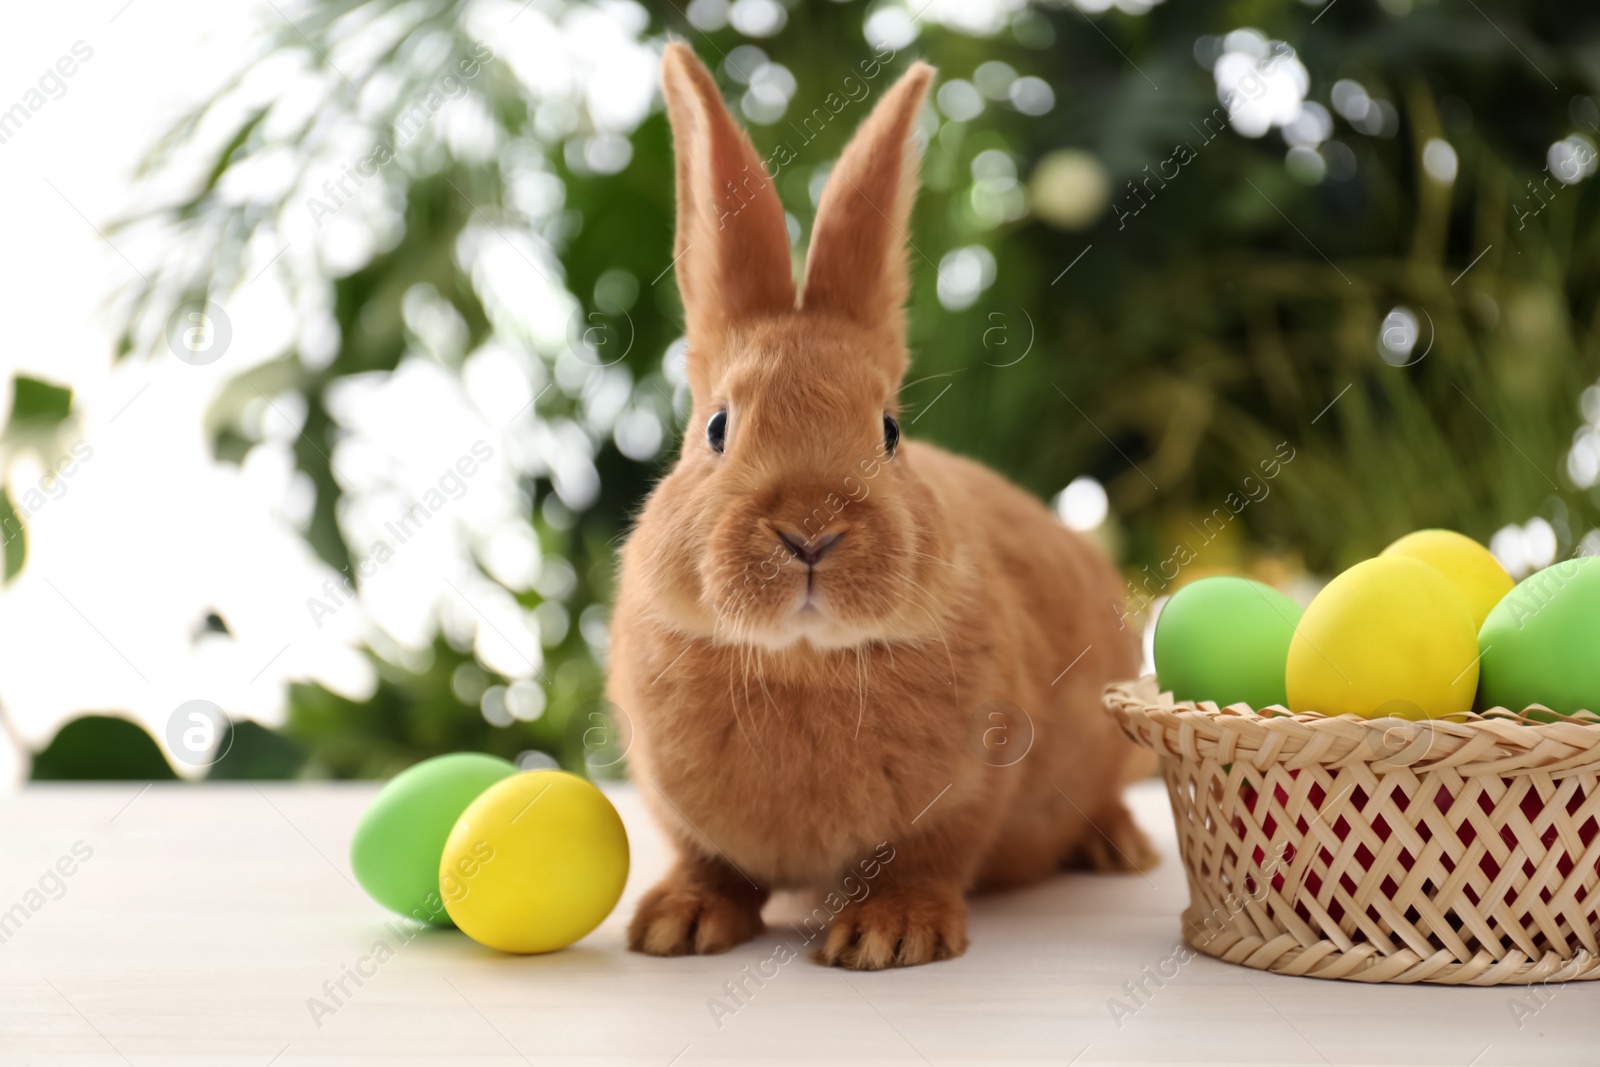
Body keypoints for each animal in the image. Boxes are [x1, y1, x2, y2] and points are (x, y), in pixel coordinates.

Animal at [604, 41, 1158, 972]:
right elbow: (706, 860)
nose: (810, 532)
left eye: (890, 431)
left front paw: (889, 936)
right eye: (717, 427)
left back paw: (1122, 848)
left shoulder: (969, 792)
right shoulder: (676, 805)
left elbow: (927, 858)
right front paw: (676, 924)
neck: (802, 662)